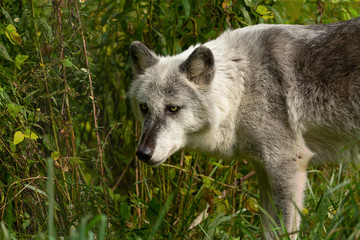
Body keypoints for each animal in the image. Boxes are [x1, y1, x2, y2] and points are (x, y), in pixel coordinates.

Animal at [128, 17, 358, 239]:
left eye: (173, 108)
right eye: (144, 107)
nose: (143, 153)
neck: (242, 85)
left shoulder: (287, 163)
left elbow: (282, 232)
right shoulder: (263, 168)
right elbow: (268, 231)